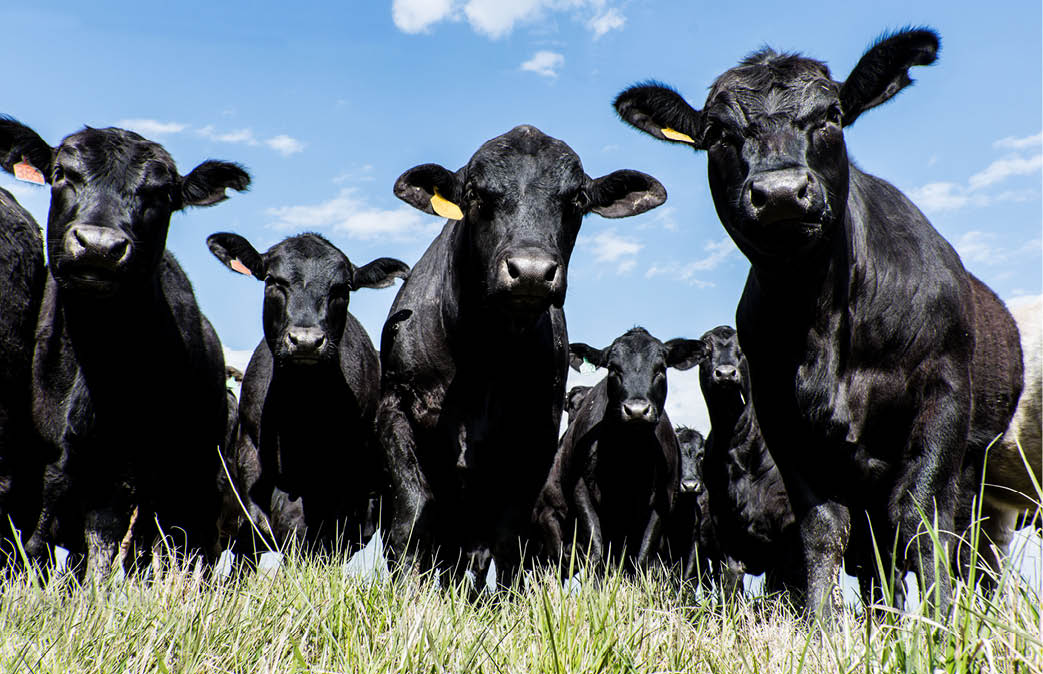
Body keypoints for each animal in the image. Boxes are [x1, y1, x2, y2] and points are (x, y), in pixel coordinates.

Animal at [0, 118, 249, 580]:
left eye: (161, 194)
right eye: (62, 174)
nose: (99, 245)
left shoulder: (127, 473)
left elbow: (104, 549)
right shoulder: (49, 462)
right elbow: (41, 542)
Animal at [379, 125, 667, 585]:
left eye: (577, 199)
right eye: (475, 193)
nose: (531, 271)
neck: (483, 355)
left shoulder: (534, 437)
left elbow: (502, 538)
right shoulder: (396, 407)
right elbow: (412, 512)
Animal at [534, 328, 706, 571]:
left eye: (660, 368)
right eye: (613, 368)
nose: (636, 410)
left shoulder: (663, 499)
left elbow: (643, 556)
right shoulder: (581, 491)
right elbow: (596, 550)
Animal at [698, 326, 801, 601]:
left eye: (742, 348)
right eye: (706, 348)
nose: (725, 373)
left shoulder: (786, 535)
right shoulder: (725, 533)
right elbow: (731, 587)